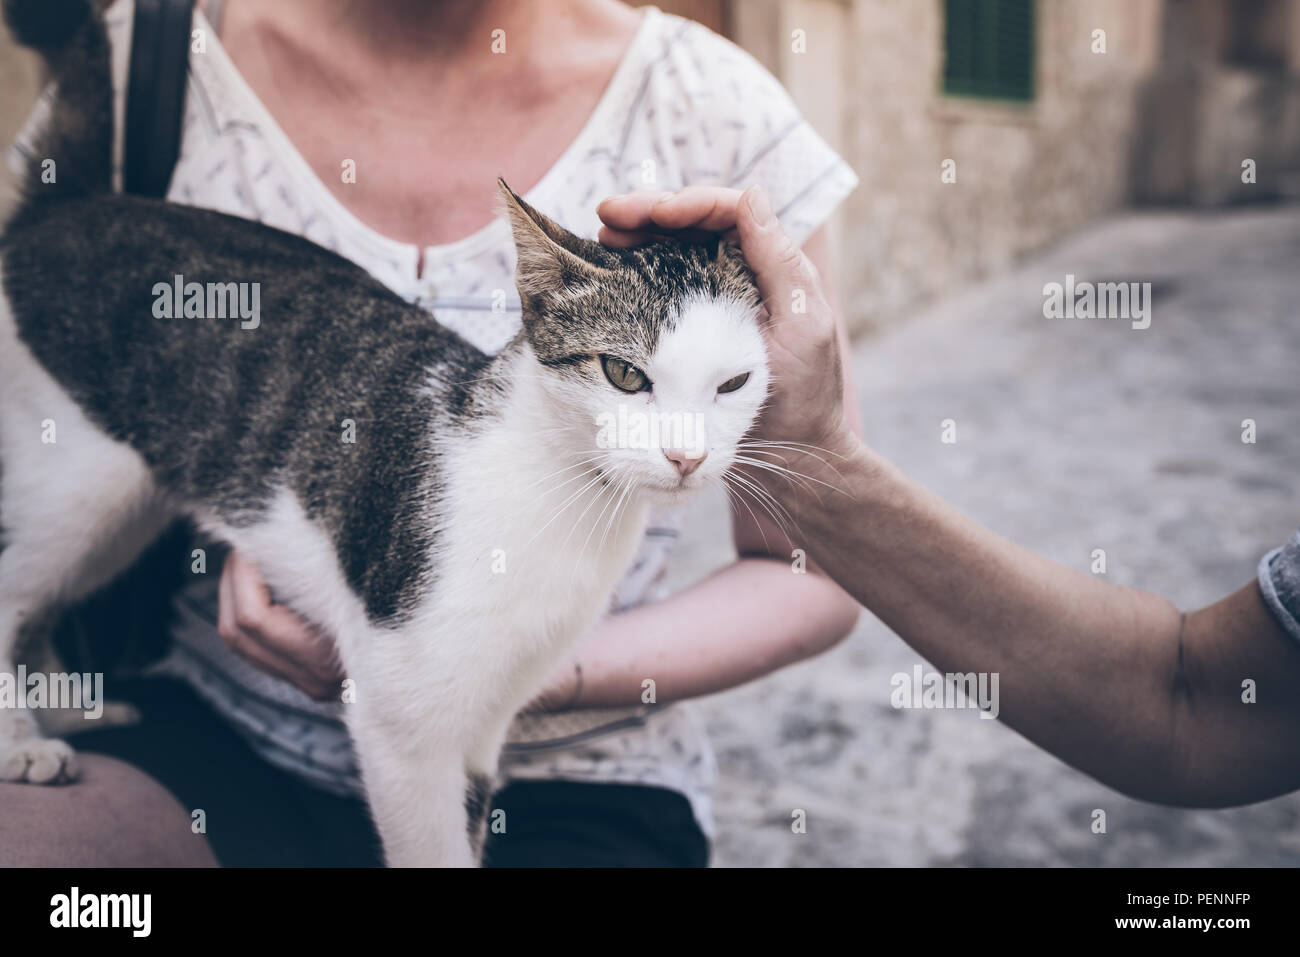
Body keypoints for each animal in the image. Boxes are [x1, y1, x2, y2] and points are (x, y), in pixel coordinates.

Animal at [0, 0, 769, 868]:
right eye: (624, 375)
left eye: (733, 385)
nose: (686, 455)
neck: (565, 497)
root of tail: (69, 207)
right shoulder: (401, 720)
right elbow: (428, 841)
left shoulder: (488, 719)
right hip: (80, 477)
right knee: (11, 588)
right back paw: (22, 743)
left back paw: (74, 712)